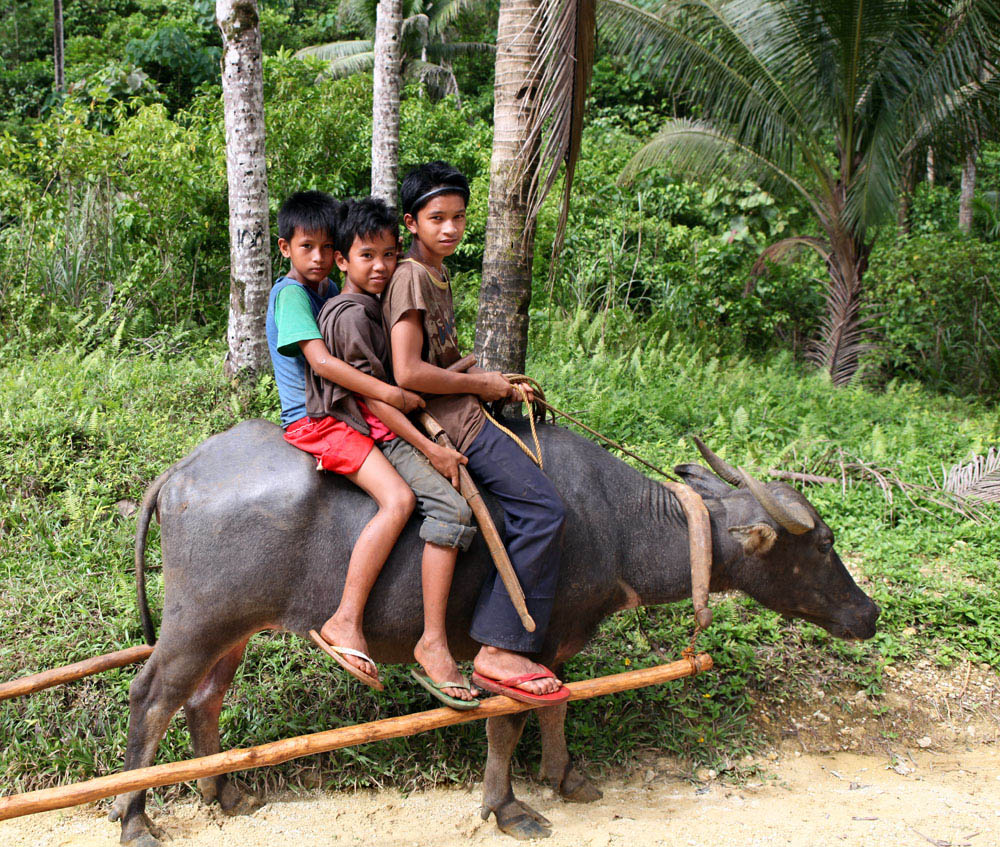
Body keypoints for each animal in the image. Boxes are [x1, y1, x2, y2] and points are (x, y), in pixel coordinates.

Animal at [109, 420, 880, 844]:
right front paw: (508, 807)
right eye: (822, 544)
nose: (868, 614)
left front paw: (567, 777)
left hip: (234, 628)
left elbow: (559, 702)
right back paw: (136, 819)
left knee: (203, 699)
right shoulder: (515, 648)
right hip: (197, 620)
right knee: (151, 697)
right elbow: (507, 722)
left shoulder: (554, 647)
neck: (614, 522)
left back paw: (223, 794)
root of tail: (180, 472)